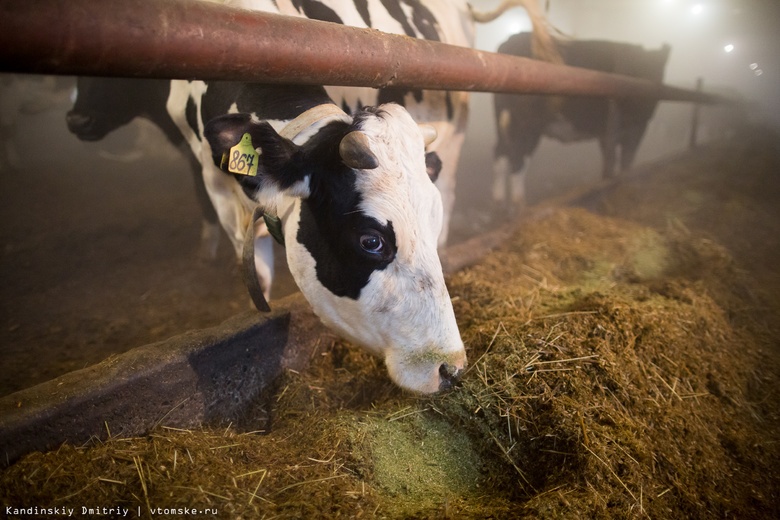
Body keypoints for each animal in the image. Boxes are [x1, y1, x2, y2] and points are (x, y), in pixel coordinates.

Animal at [494, 32, 672, 207]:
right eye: (631, 69)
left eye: (658, 71)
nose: (643, 100)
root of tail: (511, 40)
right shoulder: (616, 129)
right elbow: (614, 161)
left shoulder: (635, 127)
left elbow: (626, 160)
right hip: (525, 124)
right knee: (516, 157)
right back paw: (519, 205)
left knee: (502, 153)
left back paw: (500, 200)